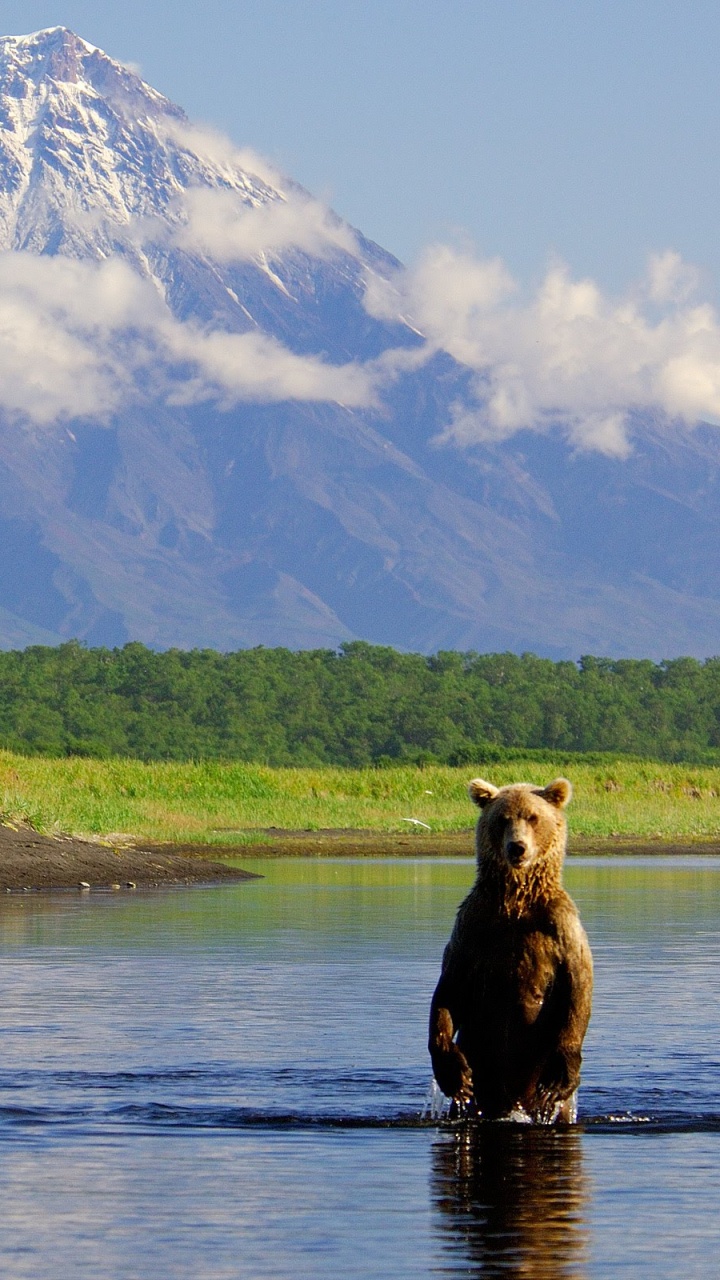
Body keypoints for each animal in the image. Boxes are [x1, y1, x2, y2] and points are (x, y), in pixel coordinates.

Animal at [425, 778, 589, 1121]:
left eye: (533, 817)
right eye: (502, 819)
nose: (517, 847)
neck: (516, 902)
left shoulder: (560, 927)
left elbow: (577, 987)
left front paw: (560, 1076)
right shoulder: (473, 927)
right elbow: (449, 990)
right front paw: (454, 1074)